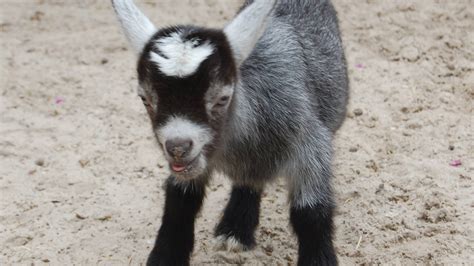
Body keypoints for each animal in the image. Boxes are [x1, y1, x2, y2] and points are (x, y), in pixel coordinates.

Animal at [111, 0, 348, 264]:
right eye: (145, 99)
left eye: (223, 98)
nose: (178, 147)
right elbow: (179, 202)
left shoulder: (310, 145)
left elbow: (310, 212)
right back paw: (235, 229)